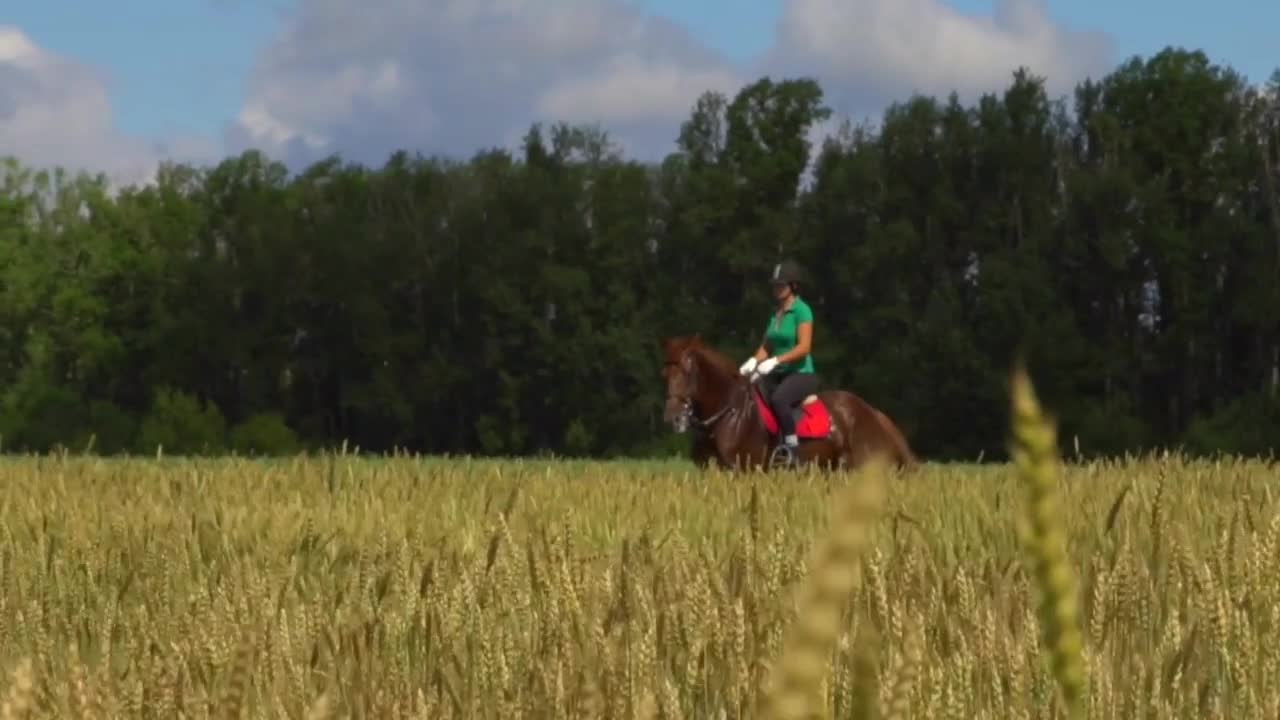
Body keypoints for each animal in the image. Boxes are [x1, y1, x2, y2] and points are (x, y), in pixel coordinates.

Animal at [660, 335, 921, 474]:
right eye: (665, 374)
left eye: (687, 373)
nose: (674, 418)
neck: (728, 413)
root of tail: (874, 414)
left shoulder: (745, 470)